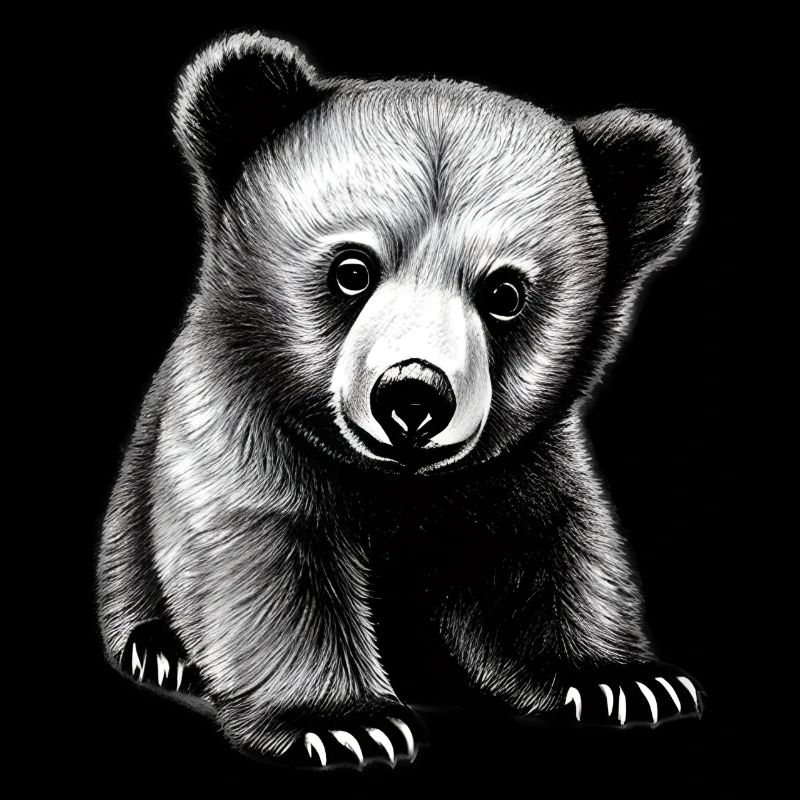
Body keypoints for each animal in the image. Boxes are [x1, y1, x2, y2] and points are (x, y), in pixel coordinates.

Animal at [96, 31, 704, 769]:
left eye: (504, 293)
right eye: (352, 270)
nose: (413, 396)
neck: (399, 485)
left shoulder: (519, 469)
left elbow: (548, 553)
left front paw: (624, 679)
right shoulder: (243, 423)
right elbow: (267, 556)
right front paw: (343, 722)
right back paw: (160, 650)